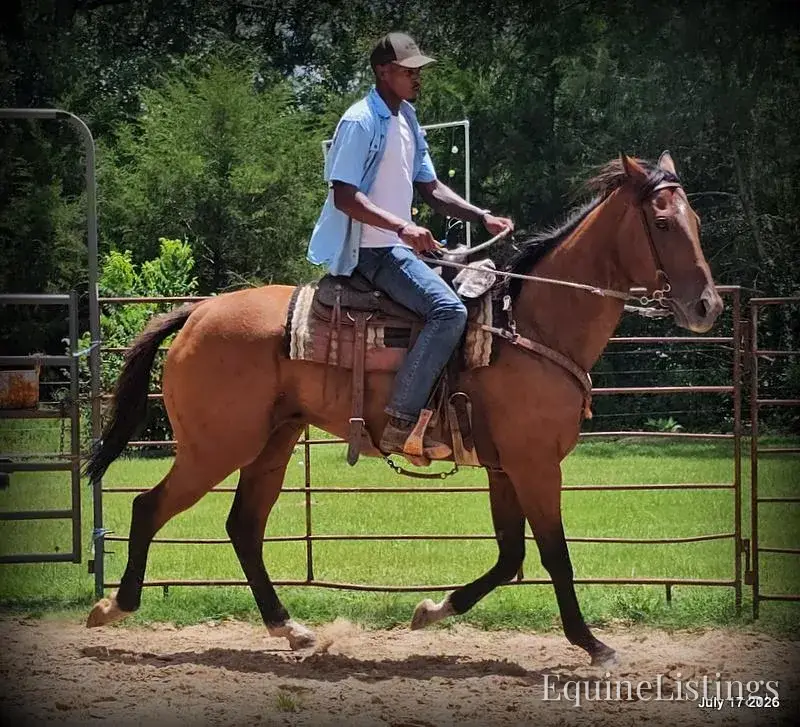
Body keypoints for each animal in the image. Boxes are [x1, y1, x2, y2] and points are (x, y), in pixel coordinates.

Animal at [84, 152, 722, 666]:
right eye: (662, 223)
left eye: (694, 221)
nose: (708, 306)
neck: (530, 322)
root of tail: (195, 312)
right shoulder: (537, 465)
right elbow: (554, 555)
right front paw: (592, 644)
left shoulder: (505, 466)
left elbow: (511, 554)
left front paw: (431, 611)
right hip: (217, 446)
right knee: (149, 507)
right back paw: (114, 607)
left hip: (273, 441)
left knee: (243, 526)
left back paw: (290, 629)